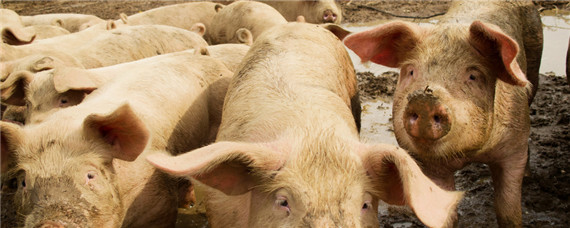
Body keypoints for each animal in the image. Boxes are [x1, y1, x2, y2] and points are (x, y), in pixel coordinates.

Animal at [342, 0, 540, 227]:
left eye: (473, 75)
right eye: (411, 71)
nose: (424, 99)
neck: (468, 154)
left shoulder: (514, 147)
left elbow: (508, 209)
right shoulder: (428, 164)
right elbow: (444, 211)